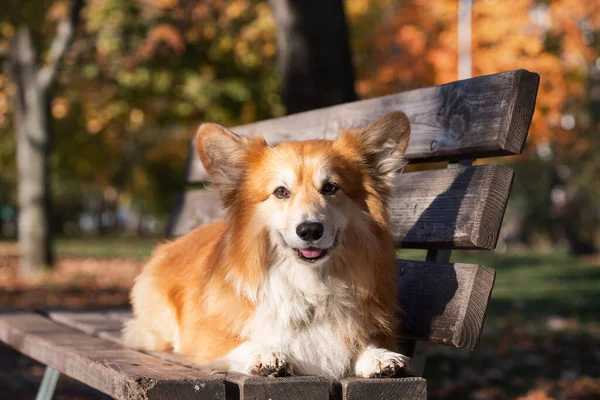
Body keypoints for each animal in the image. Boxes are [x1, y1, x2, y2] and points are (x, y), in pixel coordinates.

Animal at [122, 111, 412, 380]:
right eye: (281, 192)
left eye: (331, 188)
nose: (310, 230)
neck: (308, 286)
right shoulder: (204, 338)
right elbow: (237, 344)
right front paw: (265, 353)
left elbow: (361, 342)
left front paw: (378, 355)